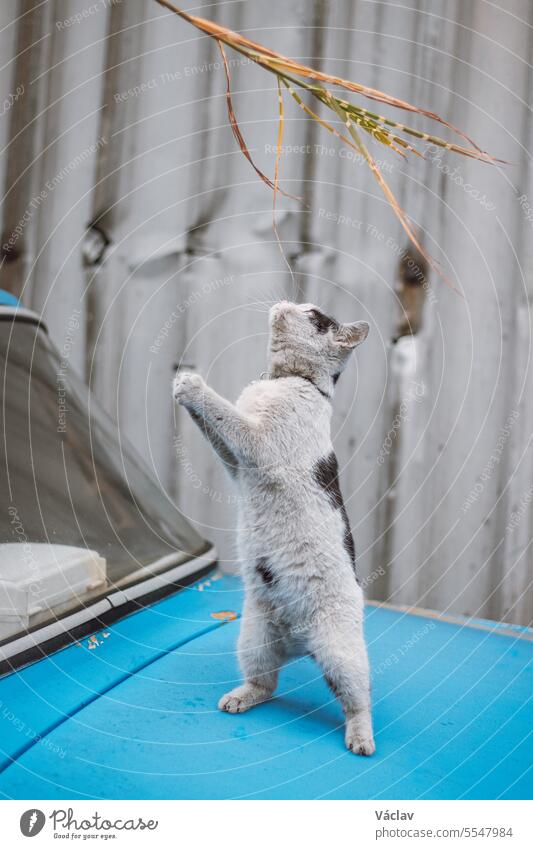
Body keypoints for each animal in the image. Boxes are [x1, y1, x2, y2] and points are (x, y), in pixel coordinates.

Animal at [172, 300, 372, 756]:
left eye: (313, 314)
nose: (286, 303)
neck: (289, 380)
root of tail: (300, 644)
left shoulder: (257, 445)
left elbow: (225, 412)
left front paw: (192, 386)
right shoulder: (236, 464)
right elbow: (215, 428)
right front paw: (182, 388)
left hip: (343, 654)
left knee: (358, 701)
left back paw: (362, 738)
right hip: (254, 638)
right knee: (265, 683)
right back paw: (241, 697)